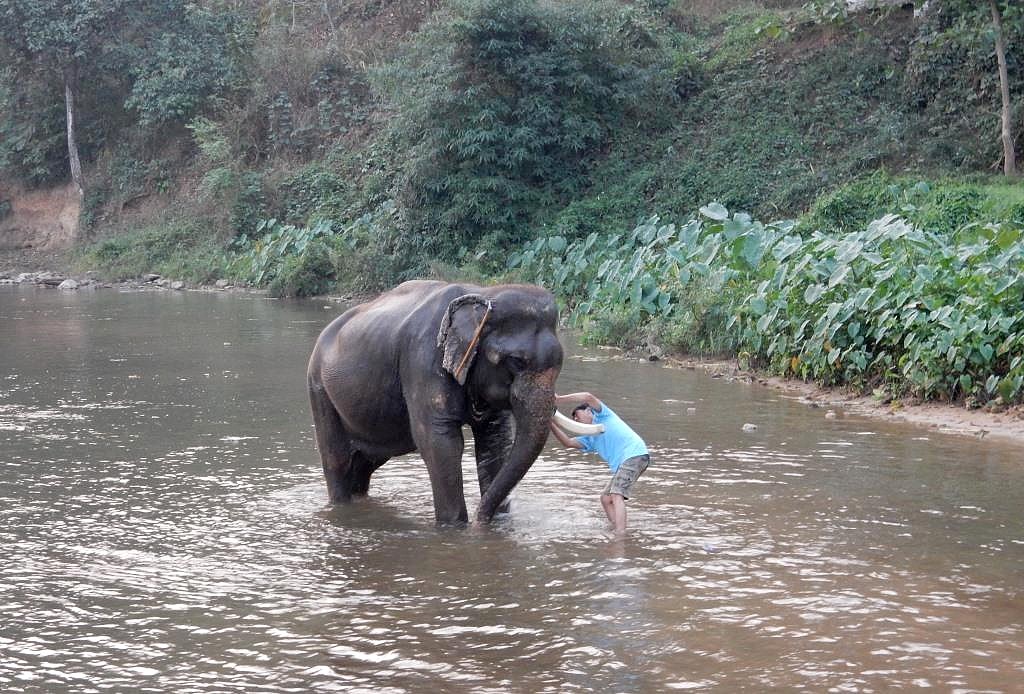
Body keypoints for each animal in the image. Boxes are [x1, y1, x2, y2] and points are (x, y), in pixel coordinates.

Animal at [305, 280, 561, 524]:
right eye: (516, 361)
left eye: (559, 363)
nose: (480, 519)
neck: (483, 294)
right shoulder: (423, 360)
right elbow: (440, 441)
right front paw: (455, 528)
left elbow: (494, 440)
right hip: (318, 388)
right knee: (337, 460)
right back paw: (341, 505)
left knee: (365, 463)